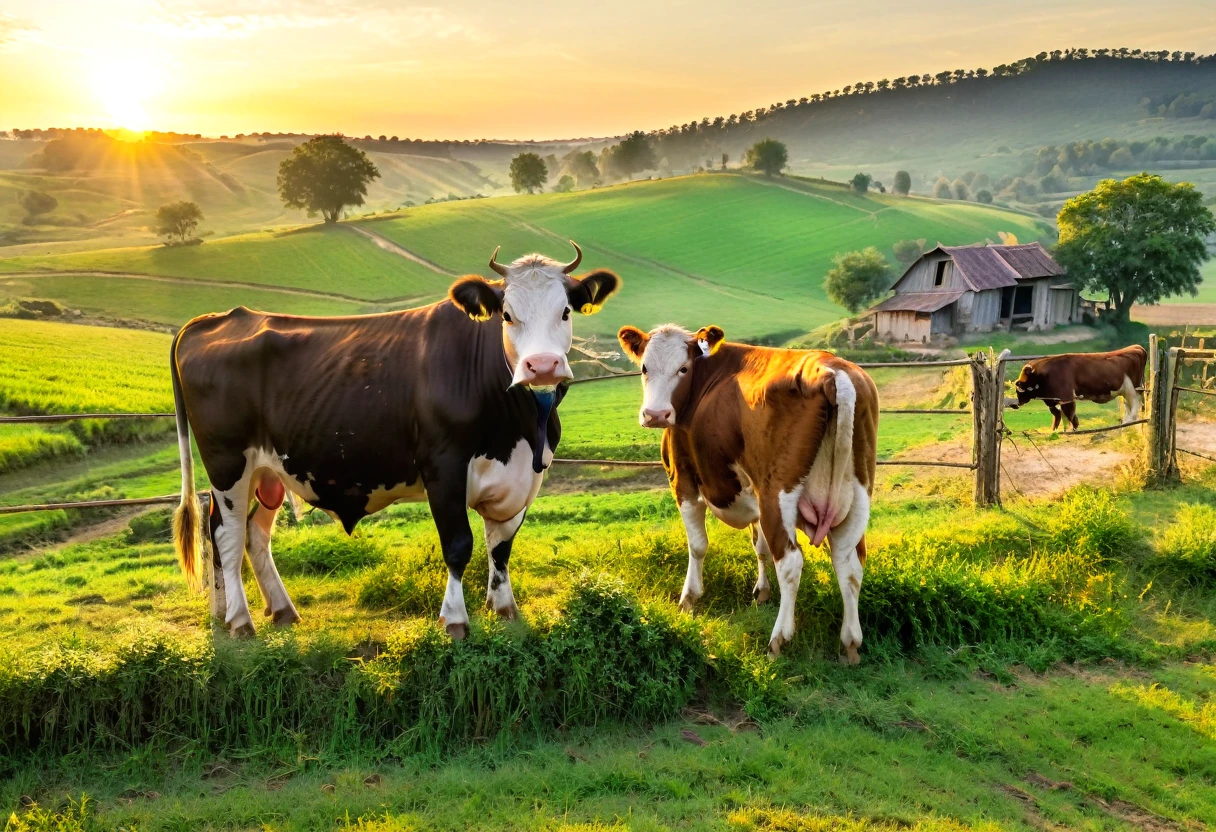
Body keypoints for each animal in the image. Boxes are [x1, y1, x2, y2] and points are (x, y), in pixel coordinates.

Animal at [170, 243, 617, 642]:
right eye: (506, 315)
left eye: (565, 311)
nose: (542, 366)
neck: (519, 429)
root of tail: (216, 318)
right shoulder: (443, 467)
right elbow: (459, 545)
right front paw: (455, 620)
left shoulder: (522, 477)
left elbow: (501, 546)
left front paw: (505, 610)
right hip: (227, 462)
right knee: (225, 535)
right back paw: (240, 622)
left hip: (268, 470)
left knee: (253, 533)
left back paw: (280, 612)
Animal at [617, 321, 875, 661]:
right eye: (644, 368)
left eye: (683, 368)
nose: (655, 414)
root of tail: (835, 370)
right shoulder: (753, 495)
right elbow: (760, 546)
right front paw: (761, 592)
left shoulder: (683, 481)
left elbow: (698, 545)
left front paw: (690, 597)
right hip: (857, 497)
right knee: (849, 565)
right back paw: (850, 643)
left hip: (778, 496)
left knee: (791, 563)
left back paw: (779, 638)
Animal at [1006, 345, 1147, 433]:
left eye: (1019, 385)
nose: (1016, 404)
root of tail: (1136, 347)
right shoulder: (1053, 399)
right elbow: (1059, 415)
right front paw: (1057, 430)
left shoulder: (1066, 396)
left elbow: (1068, 413)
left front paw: (1071, 429)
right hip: (1126, 393)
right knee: (1130, 407)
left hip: (1133, 390)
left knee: (1136, 406)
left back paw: (1126, 425)